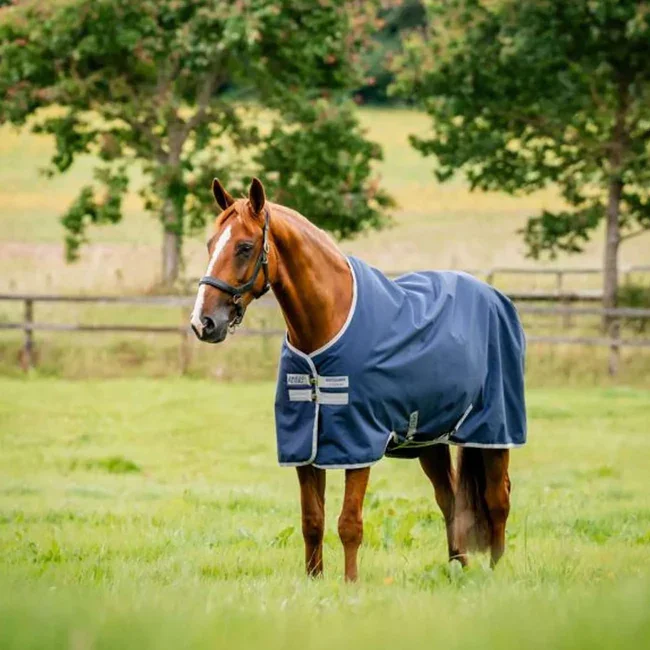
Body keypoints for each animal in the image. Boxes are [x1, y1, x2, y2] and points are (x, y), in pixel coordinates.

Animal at [191, 177, 526, 582]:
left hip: (493, 430)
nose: (203, 323)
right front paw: (314, 581)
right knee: (449, 500)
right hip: (429, 439)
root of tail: (495, 297)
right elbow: (312, 521)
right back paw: (457, 568)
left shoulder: (358, 441)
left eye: (243, 246)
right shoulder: (304, 444)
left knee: (497, 499)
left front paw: (350, 584)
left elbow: (349, 523)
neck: (327, 324)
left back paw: (496, 571)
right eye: (211, 244)